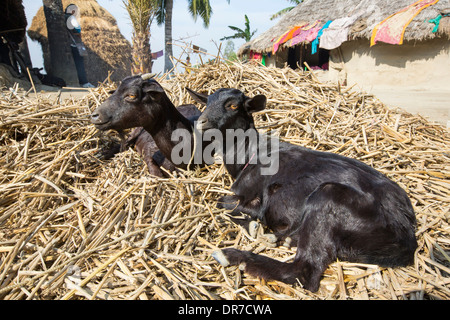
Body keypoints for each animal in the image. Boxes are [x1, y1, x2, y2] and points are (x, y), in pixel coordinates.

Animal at [190, 87, 418, 292]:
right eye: (206, 102)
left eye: (233, 105)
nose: (201, 122)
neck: (248, 154)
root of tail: (406, 229)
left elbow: (226, 202)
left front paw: (254, 222)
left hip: (329, 197)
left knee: (305, 272)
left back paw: (232, 255)